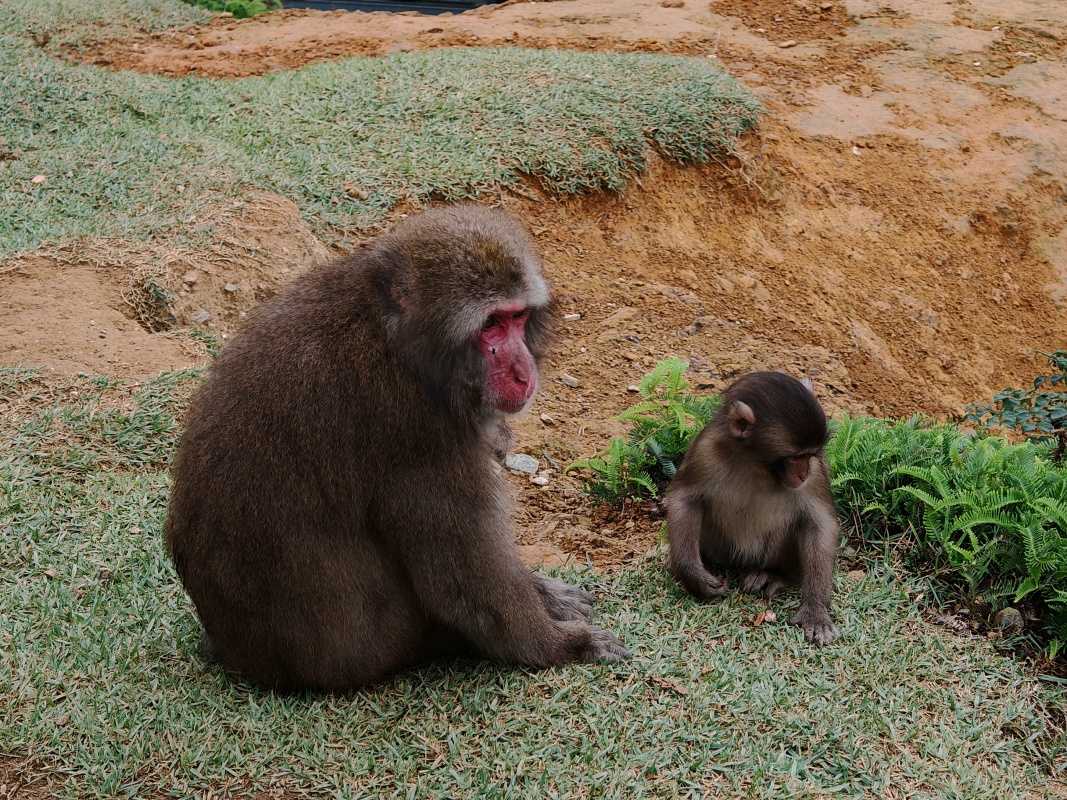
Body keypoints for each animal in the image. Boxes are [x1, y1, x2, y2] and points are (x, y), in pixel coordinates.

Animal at [164, 204, 629, 692]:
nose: (523, 372)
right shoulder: (414, 427)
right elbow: (464, 579)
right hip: (386, 644)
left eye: (517, 318)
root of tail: (237, 654)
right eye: (491, 325)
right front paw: (562, 645)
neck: (394, 337)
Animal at [663, 371, 839, 645]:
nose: (803, 473)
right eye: (795, 457)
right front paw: (692, 573)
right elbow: (684, 498)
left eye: (810, 455)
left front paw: (816, 610)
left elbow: (819, 523)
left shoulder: (817, 472)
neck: (755, 463)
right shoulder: (705, 450)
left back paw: (772, 575)